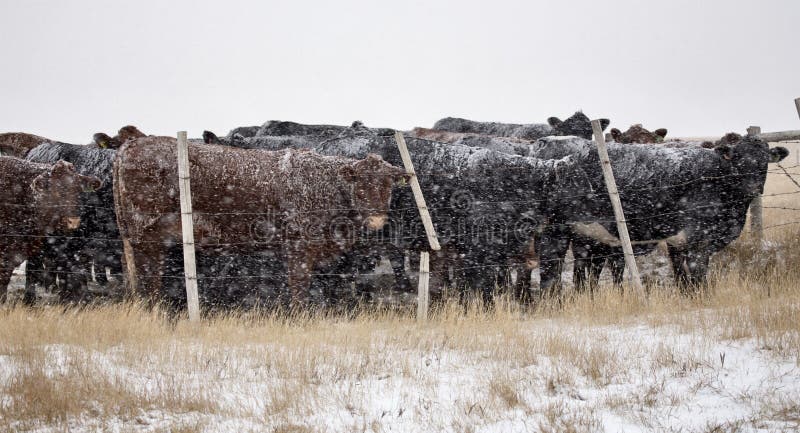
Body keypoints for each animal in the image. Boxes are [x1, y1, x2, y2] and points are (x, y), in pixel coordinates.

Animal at [114, 137, 406, 306]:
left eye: (388, 187)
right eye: (361, 187)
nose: (377, 221)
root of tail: (131, 145)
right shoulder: (298, 246)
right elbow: (300, 285)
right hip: (147, 236)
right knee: (149, 277)